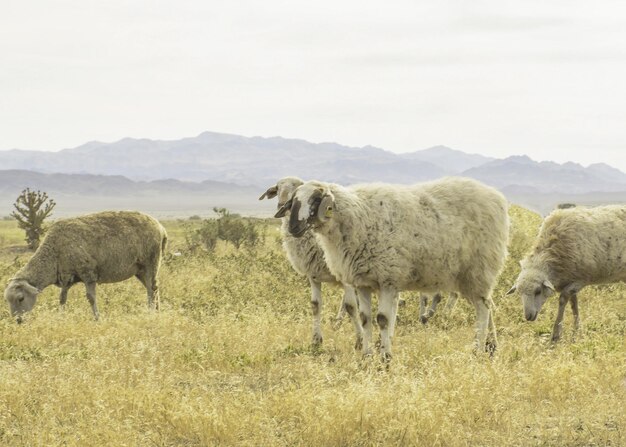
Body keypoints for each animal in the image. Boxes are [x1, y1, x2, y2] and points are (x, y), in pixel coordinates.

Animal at [3, 212, 168, 324]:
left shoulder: (88, 274)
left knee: (152, 289)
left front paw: (97, 318)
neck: (53, 253)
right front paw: (61, 316)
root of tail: (161, 228)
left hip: (151, 262)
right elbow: (62, 299)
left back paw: (151, 313)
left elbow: (91, 298)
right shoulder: (66, 278)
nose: (18, 321)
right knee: (153, 289)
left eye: (20, 298)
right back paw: (157, 311)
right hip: (140, 270)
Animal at [258, 177, 364, 348]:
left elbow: (351, 306)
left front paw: (360, 341)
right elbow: (315, 305)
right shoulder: (313, 275)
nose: (282, 205)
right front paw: (316, 341)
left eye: (296, 188)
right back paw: (337, 324)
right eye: (278, 189)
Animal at [276, 177, 508, 358]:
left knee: (483, 309)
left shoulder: (388, 278)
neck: (357, 216)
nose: (293, 227)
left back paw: (478, 349)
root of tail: (497, 197)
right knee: (488, 304)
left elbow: (383, 320)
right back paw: (491, 346)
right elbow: (365, 318)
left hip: (479, 270)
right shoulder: (362, 282)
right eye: (293, 201)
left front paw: (385, 359)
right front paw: (367, 356)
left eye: (315, 199)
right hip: (472, 277)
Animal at [504, 206, 620, 344]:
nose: (528, 316)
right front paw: (576, 331)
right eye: (519, 293)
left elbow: (563, 300)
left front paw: (556, 336)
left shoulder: (580, 280)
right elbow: (574, 305)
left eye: (538, 291)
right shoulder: (570, 280)